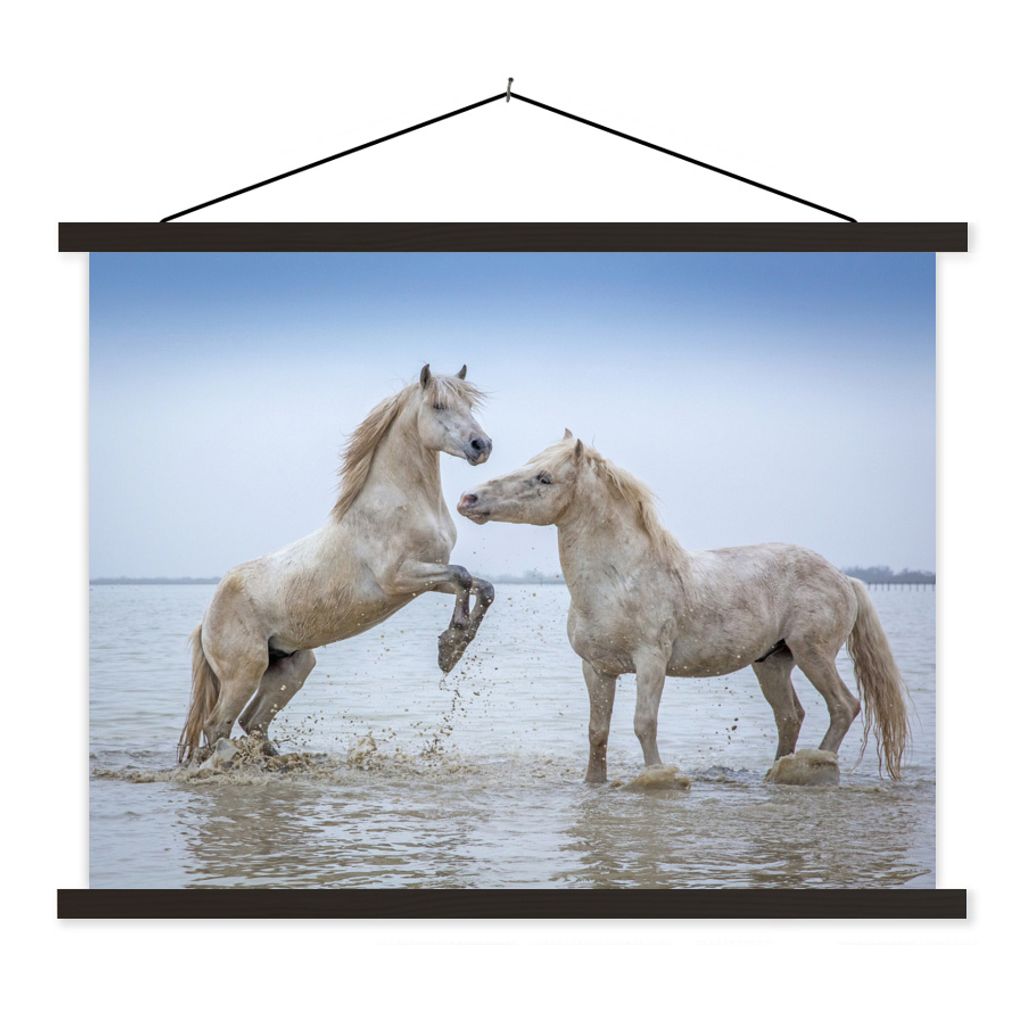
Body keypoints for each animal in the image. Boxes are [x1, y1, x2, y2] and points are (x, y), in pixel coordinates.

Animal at [178, 364, 495, 762]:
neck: (400, 503)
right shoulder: (399, 578)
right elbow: (464, 576)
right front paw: (450, 647)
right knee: (217, 725)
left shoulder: (429, 578)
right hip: (244, 673)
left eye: (468, 404)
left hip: (293, 666)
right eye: (438, 405)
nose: (481, 446)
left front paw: (453, 647)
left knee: (253, 722)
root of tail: (205, 620)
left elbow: (480, 586)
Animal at [457, 431, 908, 783]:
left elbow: (644, 724)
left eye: (544, 477)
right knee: (790, 716)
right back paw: (776, 773)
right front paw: (593, 783)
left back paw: (815, 766)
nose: (468, 498)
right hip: (773, 663)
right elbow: (597, 731)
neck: (620, 579)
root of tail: (843, 578)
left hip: (814, 653)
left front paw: (658, 778)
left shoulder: (651, 661)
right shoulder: (597, 668)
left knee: (843, 707)